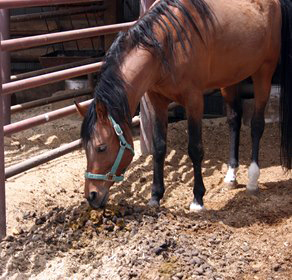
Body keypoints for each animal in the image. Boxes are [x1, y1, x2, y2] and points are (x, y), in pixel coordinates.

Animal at [76, 0, 292, 210]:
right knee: (234, 121)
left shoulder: (194, 100)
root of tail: (274, 3)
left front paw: (198, 199)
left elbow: (195, 149)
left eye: (101, 147)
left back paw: (253, 180)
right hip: (231, 78)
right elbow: (159, 147)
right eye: (85, 147)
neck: (165, 45)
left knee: (256, 125)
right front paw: (155, 196)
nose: (91, 196)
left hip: (263, 73)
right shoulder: (157, 100)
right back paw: (231, 176)